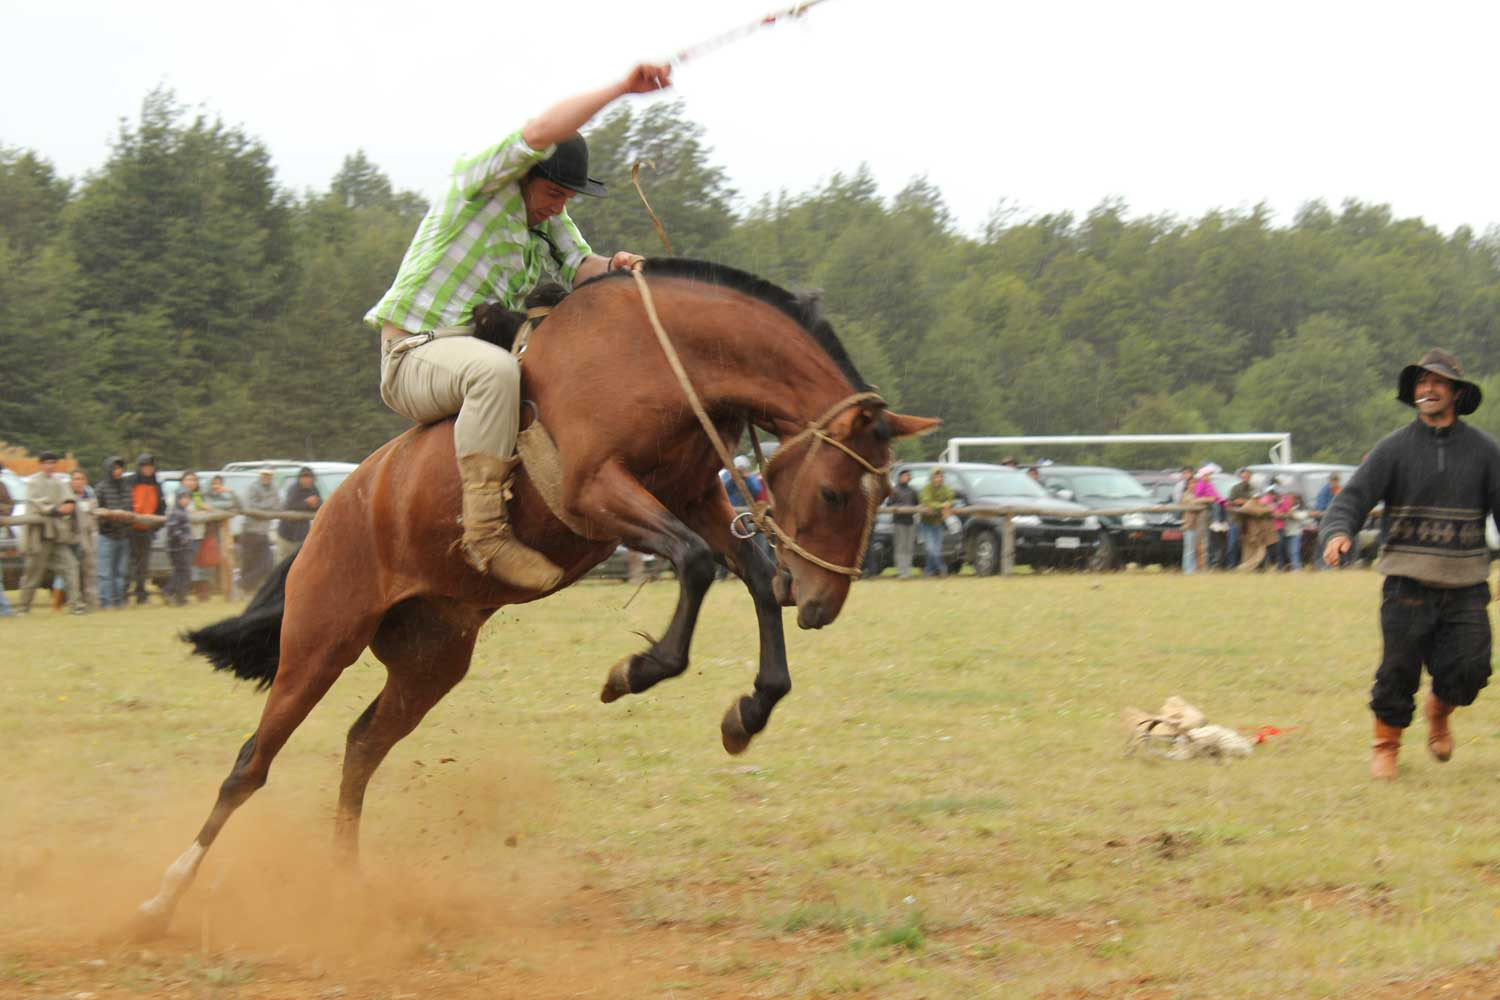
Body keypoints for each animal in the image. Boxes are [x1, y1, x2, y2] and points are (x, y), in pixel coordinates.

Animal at [138, 257, 936, 941]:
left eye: (886, 493)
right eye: (835, 492)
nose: (824, 604)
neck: (657, 356)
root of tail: (330, 513)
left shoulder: (695, 497)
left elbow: (756, 575)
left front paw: (749, 711)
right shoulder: (597, 491)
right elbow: (699, 565)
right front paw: (634, 673)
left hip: (431, 660)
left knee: (361, 746)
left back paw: (344, 883)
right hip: (319, 643)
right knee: (251, 765)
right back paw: (161, 898)